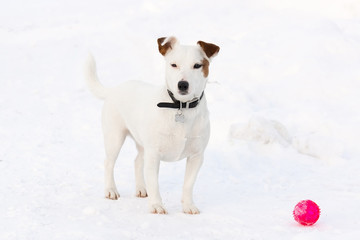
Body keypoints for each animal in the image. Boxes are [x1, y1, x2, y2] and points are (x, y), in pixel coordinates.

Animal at [84, 36, 219, 214]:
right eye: (173, 64)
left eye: (197, 65)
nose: (182, 85)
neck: (180, 107)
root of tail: (114, 89)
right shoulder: (154, 154)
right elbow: (154, 183)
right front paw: (156, 205)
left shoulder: (196, 156)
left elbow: (188, 184)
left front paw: (188, 205)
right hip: (115, 138)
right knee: (109, 163)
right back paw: (110, 190)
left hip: (142, 144)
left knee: (137, 162)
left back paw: (141, 188)